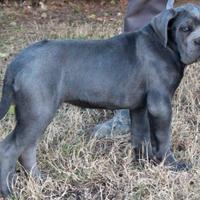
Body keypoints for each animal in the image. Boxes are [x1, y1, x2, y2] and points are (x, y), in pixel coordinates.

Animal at [0, 2, 200, 197]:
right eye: (185, 28)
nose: (199, 41)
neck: (165, 45)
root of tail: (17, 62)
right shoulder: (160, 104)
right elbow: (163, 137)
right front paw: (171, 164)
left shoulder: (140, 106)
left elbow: (140, 135)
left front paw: (143, 163)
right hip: (38, 111)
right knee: (10, 149)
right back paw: (8, 191)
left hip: (35, 114)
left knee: (27, 149)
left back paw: (40, 181)